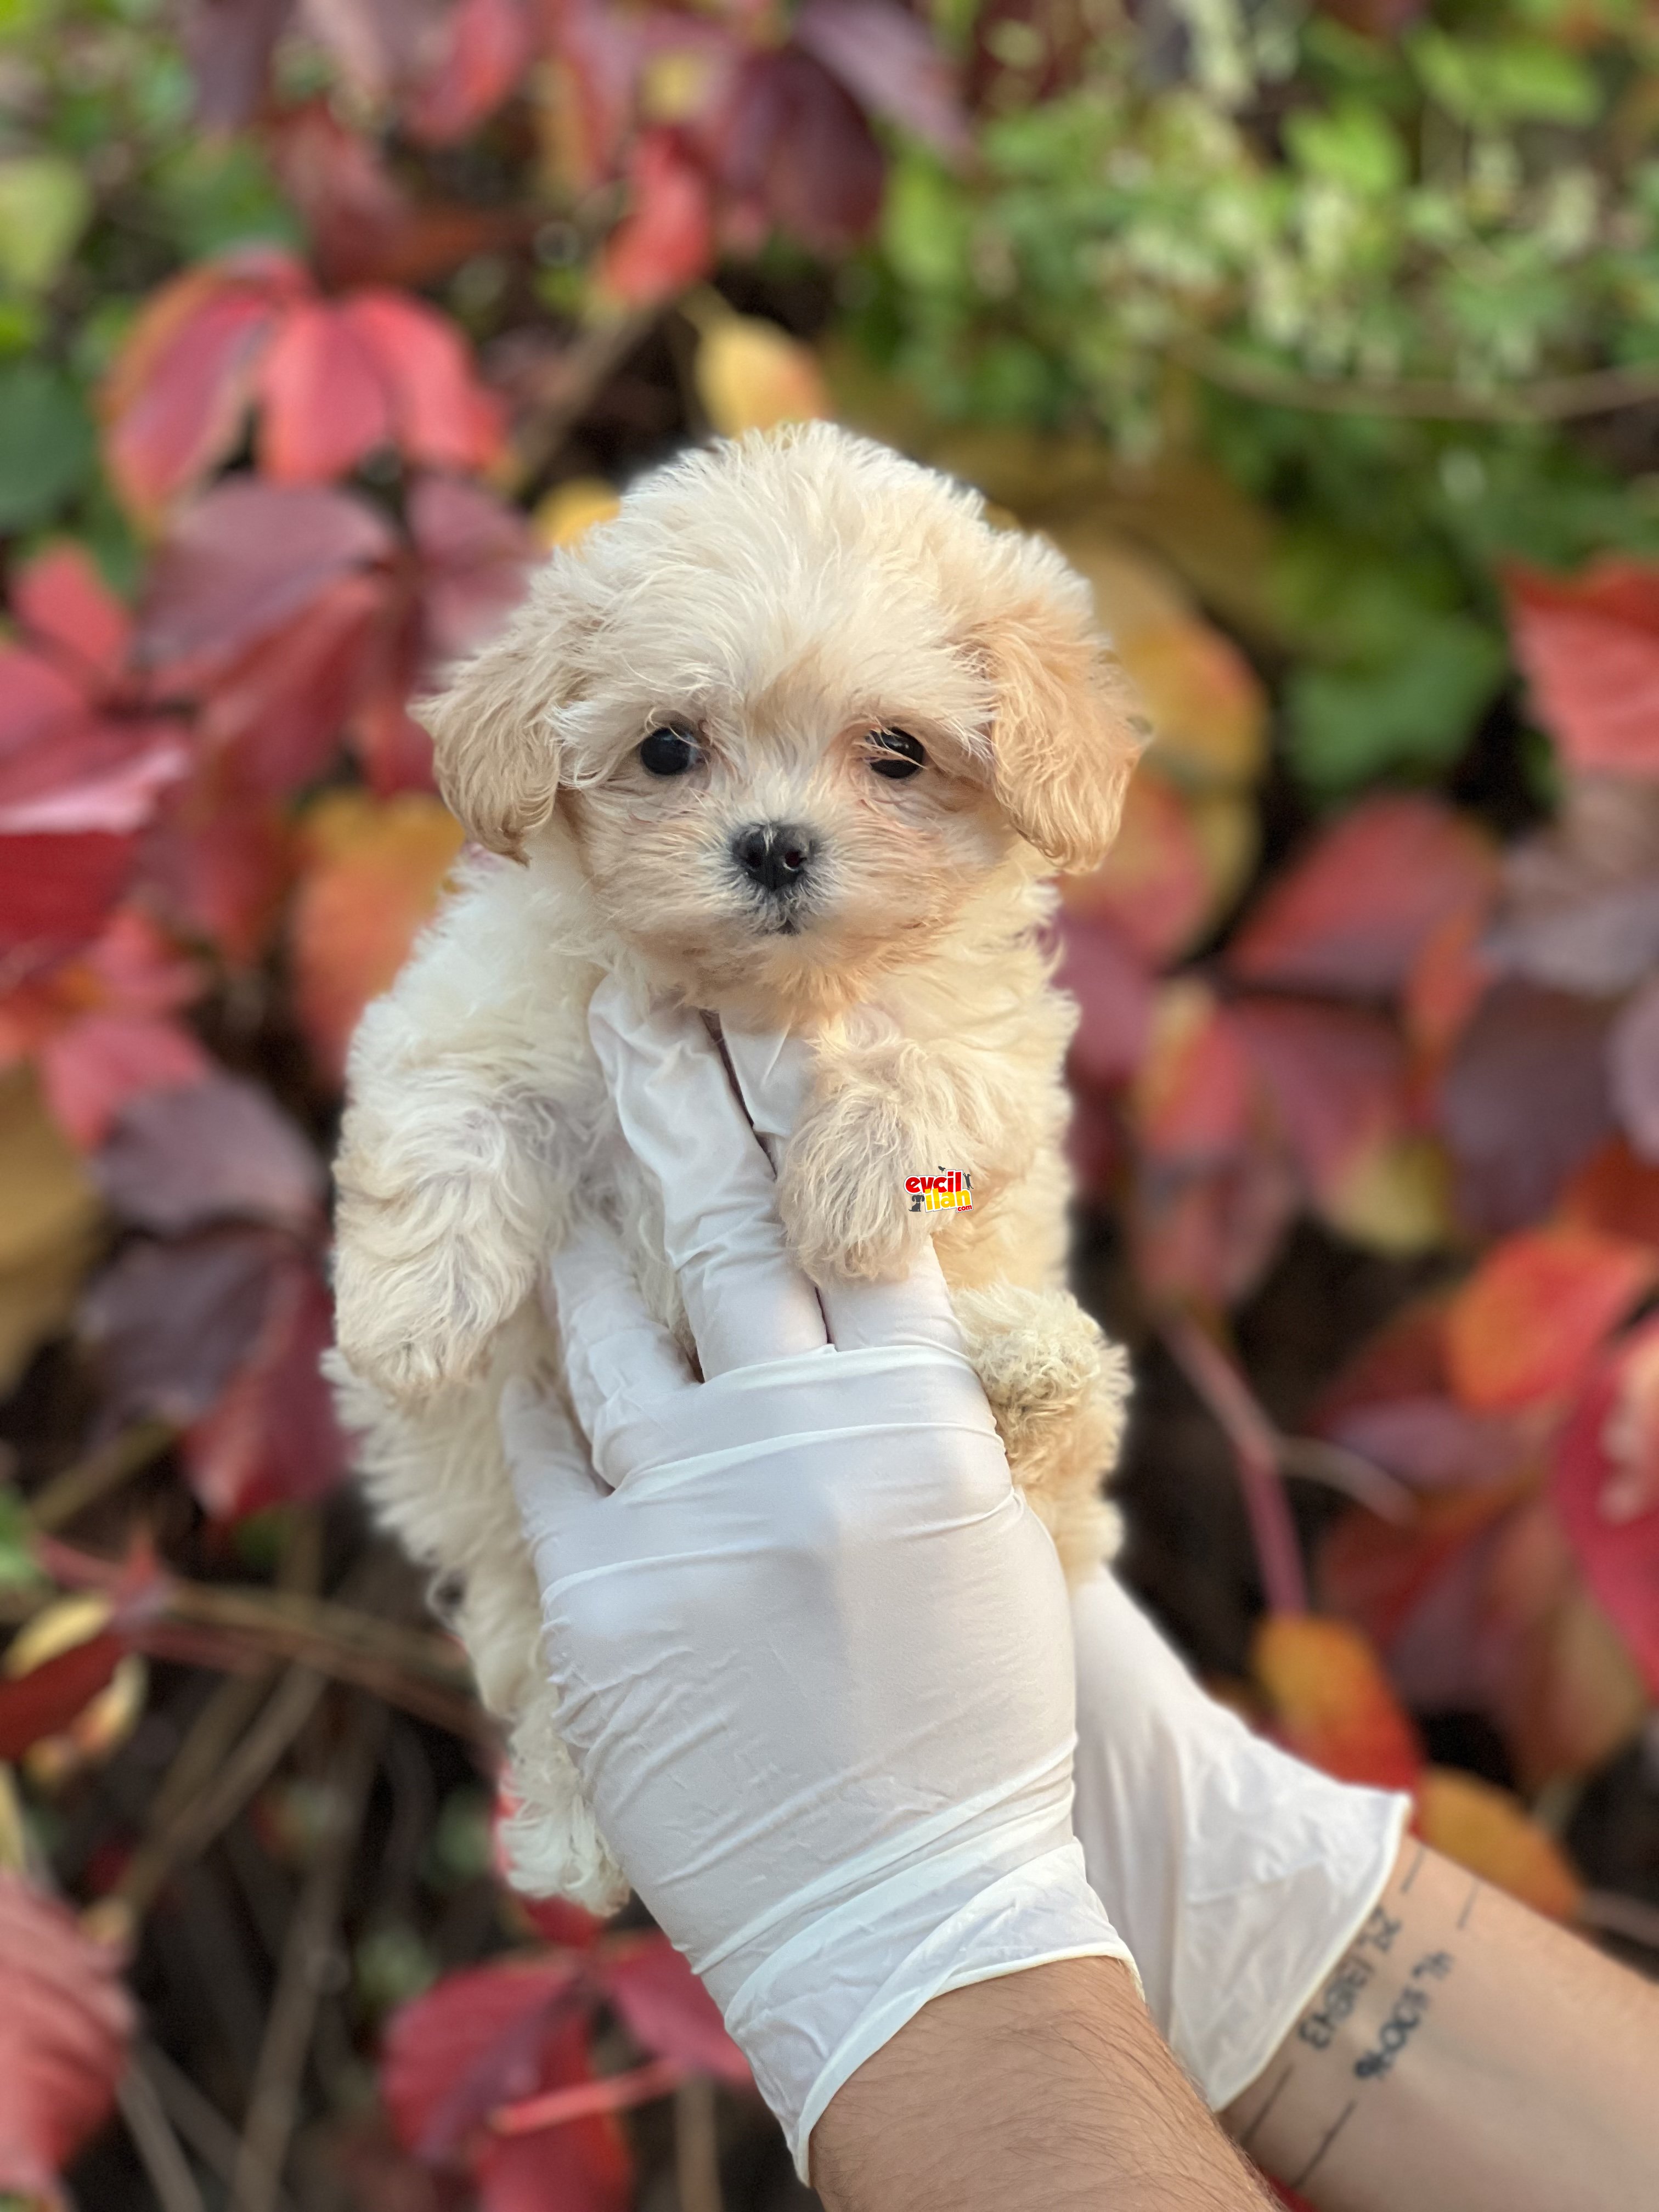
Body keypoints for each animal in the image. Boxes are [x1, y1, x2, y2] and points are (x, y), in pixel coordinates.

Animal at [334, 422, 1150, 1911]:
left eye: (896, 751)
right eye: (669, 749)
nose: (772, 843)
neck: (751, 1000)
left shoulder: (990, 1041)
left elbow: (929, 1068)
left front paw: (847, 1190)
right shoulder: (474, 1010)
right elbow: (447, 1123)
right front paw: (413, 1320)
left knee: (1062, 1451)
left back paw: (1025, 1366)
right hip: (522, 1544)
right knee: (544, 1645)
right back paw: (580, 1829)